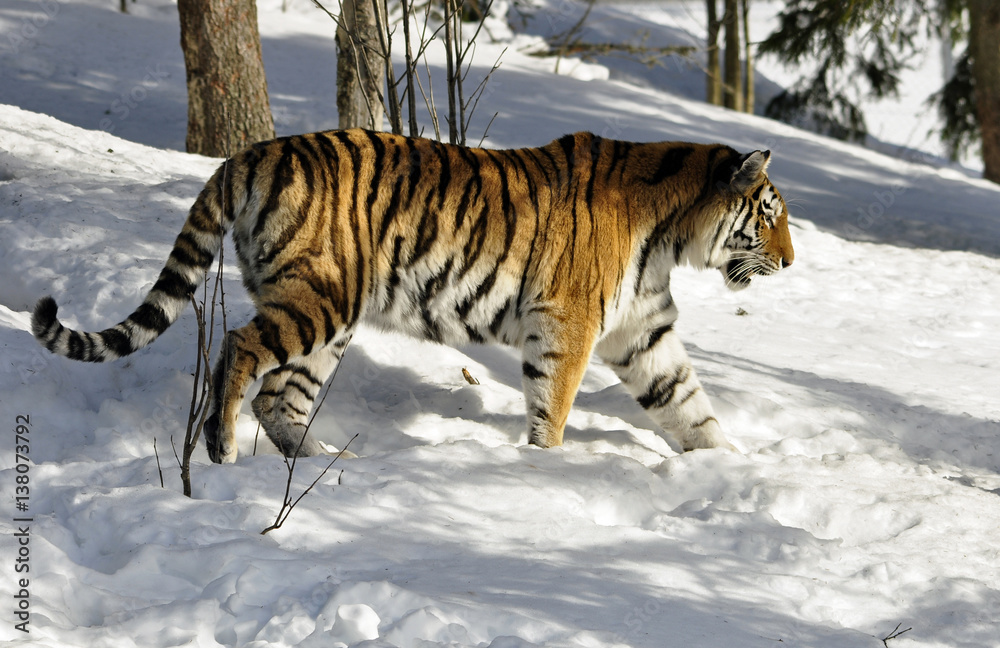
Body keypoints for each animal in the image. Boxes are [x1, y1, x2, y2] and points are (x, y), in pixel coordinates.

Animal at [32, 129, 794, 464]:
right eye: (768, 215)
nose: (790, 262)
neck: (669, 233)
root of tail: (250, 153)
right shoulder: (568, 326)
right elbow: (554, 406)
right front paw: (545, 468)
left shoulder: (644, 332)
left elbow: (689, 406)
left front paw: (730, 471)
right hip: (320, 298)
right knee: (240, 347)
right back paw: (222, 450)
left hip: (330, 317)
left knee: (282, 396)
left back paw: (320, 464)